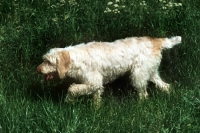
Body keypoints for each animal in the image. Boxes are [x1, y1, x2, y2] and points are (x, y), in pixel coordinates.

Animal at [37, 35, 181, 105]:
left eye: (48, 62)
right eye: (44, 60)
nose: (38, 69)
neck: (76, 59)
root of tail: (156, 41)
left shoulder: (93, 81)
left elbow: (72, 89)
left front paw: (69, 100)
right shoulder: (95, 85)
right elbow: (96, 98)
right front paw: (96, 111)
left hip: (138, 76)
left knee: (144, 94)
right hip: (151, 73)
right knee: (166, 86)